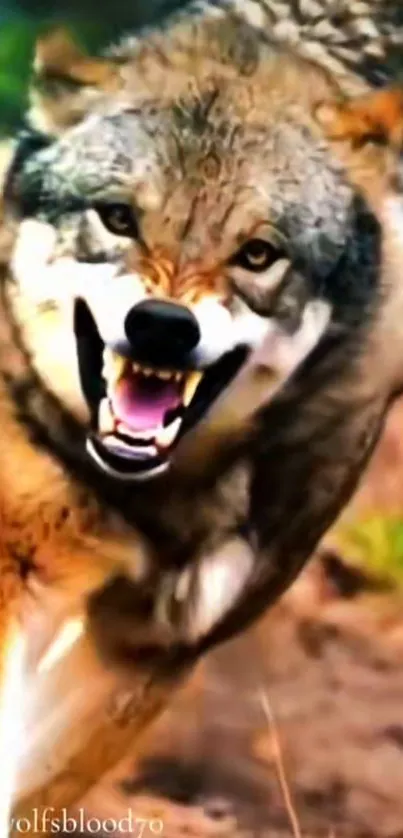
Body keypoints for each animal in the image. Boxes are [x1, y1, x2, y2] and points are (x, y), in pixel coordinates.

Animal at [3, 0, 403, 827]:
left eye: (257, 254)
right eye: (118, 218)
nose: (161, 326)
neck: (139, 500)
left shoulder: (152, 651)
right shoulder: (15, 563)